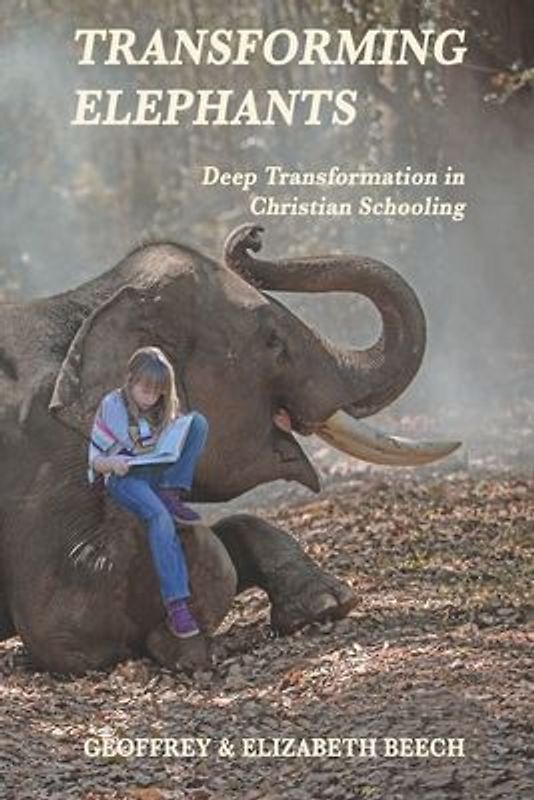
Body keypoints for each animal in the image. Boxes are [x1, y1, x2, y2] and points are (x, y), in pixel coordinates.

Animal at [0, 223, 459, 674]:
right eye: (274, 342)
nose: (253, 236)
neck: (88, 304)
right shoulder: (50, 450)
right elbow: (58, 622)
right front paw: (184, 645)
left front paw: (326, 604)